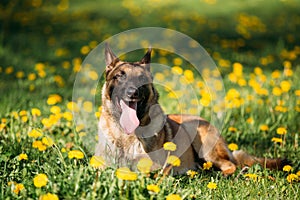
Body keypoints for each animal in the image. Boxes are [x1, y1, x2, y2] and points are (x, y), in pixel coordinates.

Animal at [95, 44, 286, 176]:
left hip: (203, 144)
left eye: (141, 78)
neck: (125, 136)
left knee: (231, 165)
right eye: (120, 76)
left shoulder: (155, 169)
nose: (132, 92)